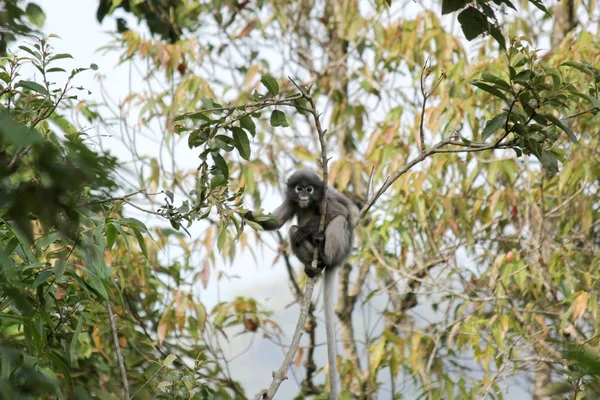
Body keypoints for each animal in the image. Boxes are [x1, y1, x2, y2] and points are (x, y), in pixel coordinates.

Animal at [245, 167, 356, 398]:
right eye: (298, 188)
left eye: (309, 189)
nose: (304, 195)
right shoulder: (291, 199)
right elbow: (278, 222)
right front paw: (249, 215)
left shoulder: (326, 198)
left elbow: (341, 212)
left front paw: (309, 229)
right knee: (291, 231)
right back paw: (314, 265)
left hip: (341, 247)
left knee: (338, 221)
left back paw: (323, 250)